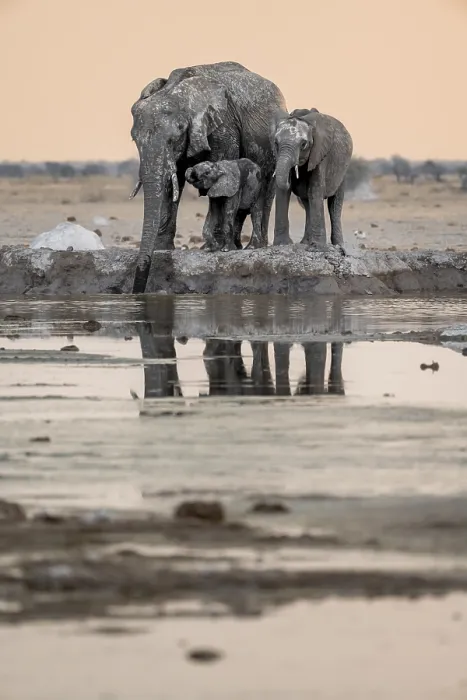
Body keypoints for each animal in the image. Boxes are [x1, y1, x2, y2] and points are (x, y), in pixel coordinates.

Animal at [130, 61, 287, 293]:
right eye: (134, 139)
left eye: (175, 136)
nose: (137, 292)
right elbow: (170, 182)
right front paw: (161, 249)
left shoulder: (224, 126)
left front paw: (216, 248)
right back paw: (237, 246)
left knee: (265, 192)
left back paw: (254, 246)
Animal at [272, 108, 353, 249]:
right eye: (276, 143)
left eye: (303, 144)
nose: (292, 178)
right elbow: (282, 193)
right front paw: (282, 244)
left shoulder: (320, 153)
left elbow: (315, 190)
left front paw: (317, 247)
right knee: (307, 203)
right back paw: (305, 242)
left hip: (342, 171)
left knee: (335, 204)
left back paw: (338, 245)